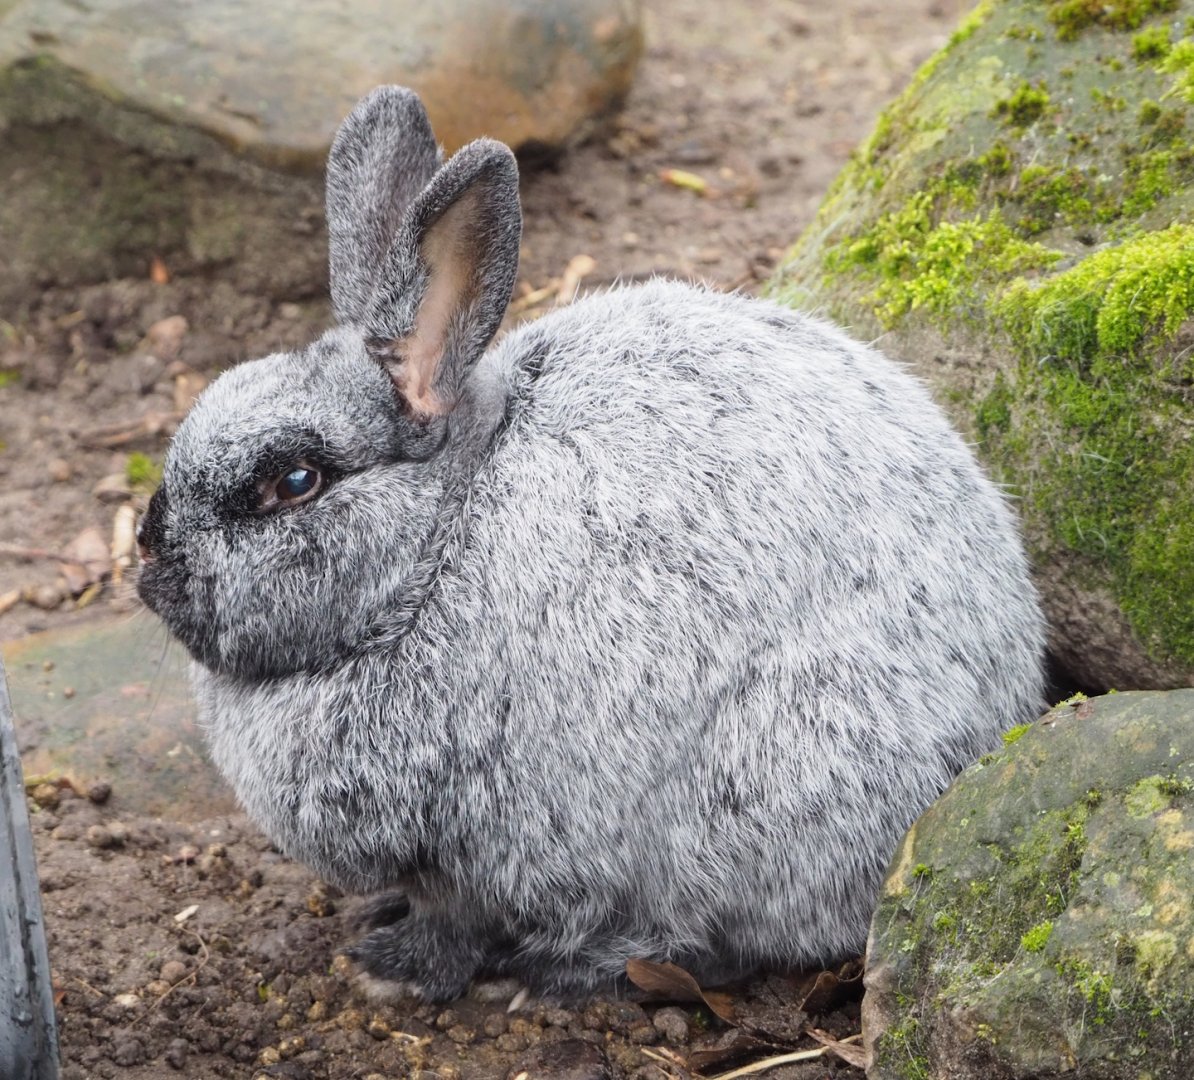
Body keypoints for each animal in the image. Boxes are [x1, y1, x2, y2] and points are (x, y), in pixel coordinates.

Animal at [136, 85, 1045, 1003]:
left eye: (294, 480)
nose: (150, 556)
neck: (433, 548)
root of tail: (1000, 717)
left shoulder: (480, 845)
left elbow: (452, 924)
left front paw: (391, 969)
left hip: (755, 793)